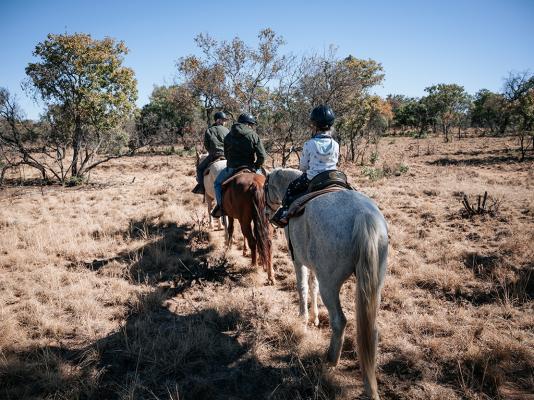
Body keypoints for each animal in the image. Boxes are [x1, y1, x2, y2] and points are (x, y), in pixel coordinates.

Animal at [266, 167, 390, 398]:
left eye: (265, 186)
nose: (266, 210)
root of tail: (363, 216)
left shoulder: (298, 259)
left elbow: (303, 286)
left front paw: (303, 319)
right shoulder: (316, 267)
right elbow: (313, 285)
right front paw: (315, 318)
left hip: (330, 286)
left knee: (339, 321)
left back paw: (330, 359)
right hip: (374, 284)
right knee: (372, 330)